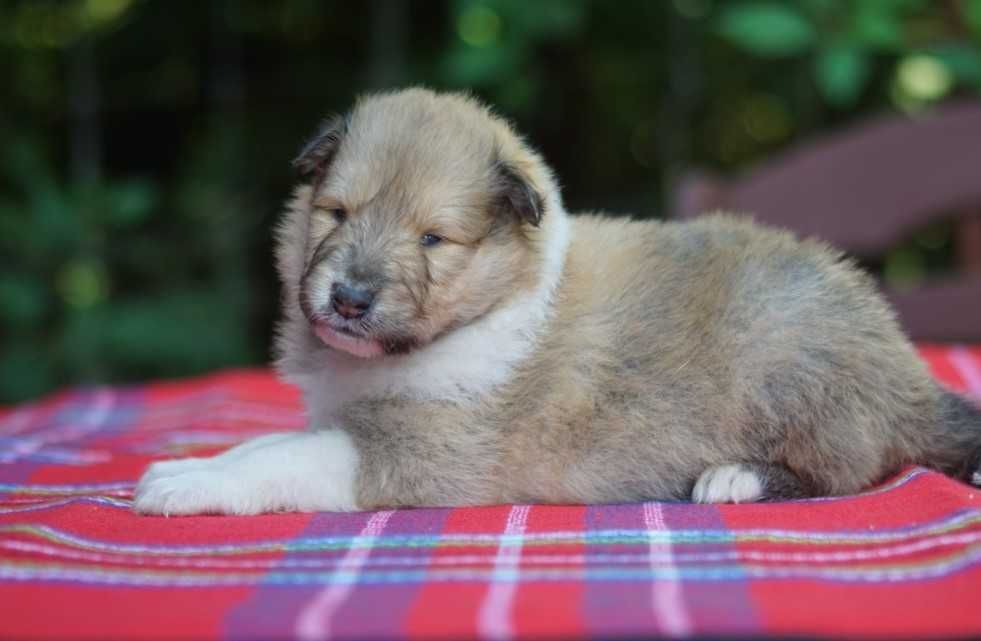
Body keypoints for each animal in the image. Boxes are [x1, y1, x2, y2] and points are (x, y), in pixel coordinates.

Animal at [134, 88, 981, 515]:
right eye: (337, 212)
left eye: (434, 238)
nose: (346, 299)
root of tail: (898, 364)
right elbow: (266, 441)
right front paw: (186, 464)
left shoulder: (427, 454)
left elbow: (285, 459)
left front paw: (188, 484)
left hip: (786, 360)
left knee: (849, 468)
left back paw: (733, 478)